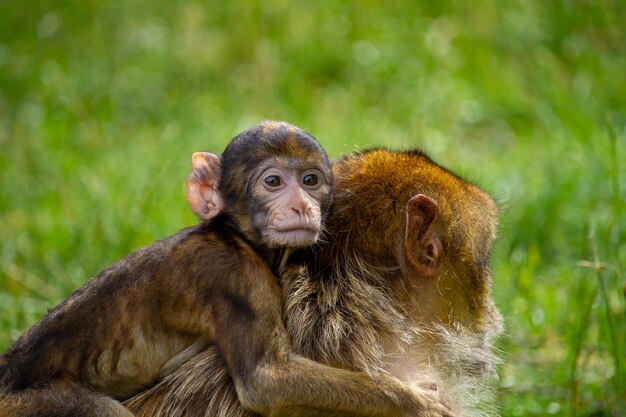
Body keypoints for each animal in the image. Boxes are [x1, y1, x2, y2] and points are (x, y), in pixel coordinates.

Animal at [0, 121, 448, 416]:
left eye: (310, 180)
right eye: (273, 182)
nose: (301, 206)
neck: (240, 238)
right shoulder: (237, 277)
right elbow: (267, 382)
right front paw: (415, 400)